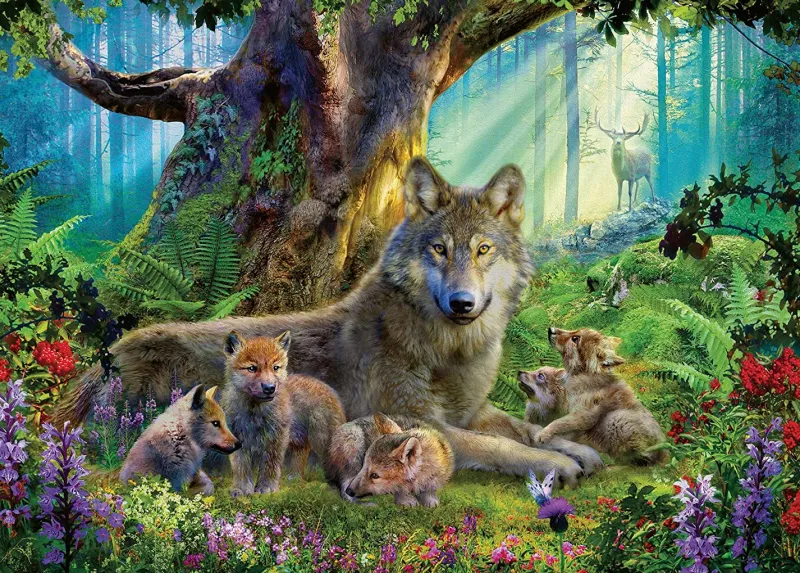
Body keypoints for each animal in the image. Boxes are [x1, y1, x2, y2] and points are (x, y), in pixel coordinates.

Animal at [221, 330, 346, 496]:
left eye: (275, 367)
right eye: (252, 368)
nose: (269, 387)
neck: (255, 412)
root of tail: (328, 388)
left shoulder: (276, 439)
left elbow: (270, 465)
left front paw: (267, 488)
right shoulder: (238, 437)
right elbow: (241, 466)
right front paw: (241, 489)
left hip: (322, 440)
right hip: (300, 440)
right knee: (302, 454)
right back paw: (295, 479)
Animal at [534, 327, 667, 465]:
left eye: (575, 339)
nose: (550, 329)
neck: (583, 374)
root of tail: (664, 453)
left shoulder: (584, 415)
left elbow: (560, 422)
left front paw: (543, 433)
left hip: (616, 419)